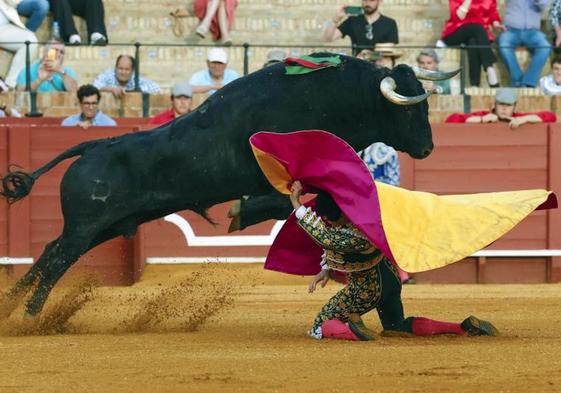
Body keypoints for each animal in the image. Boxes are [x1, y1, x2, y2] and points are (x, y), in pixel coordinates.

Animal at [0, 53, 436, 316]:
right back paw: (31, 315)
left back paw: (14, 305)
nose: (429, 147)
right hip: (87, 224)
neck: (335, 99)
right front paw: (239, 212)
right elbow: (288, 200)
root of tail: (93, 144)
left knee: (51, 250)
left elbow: (323, 196)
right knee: (59, 257)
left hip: (102, 227)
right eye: (410, 109)